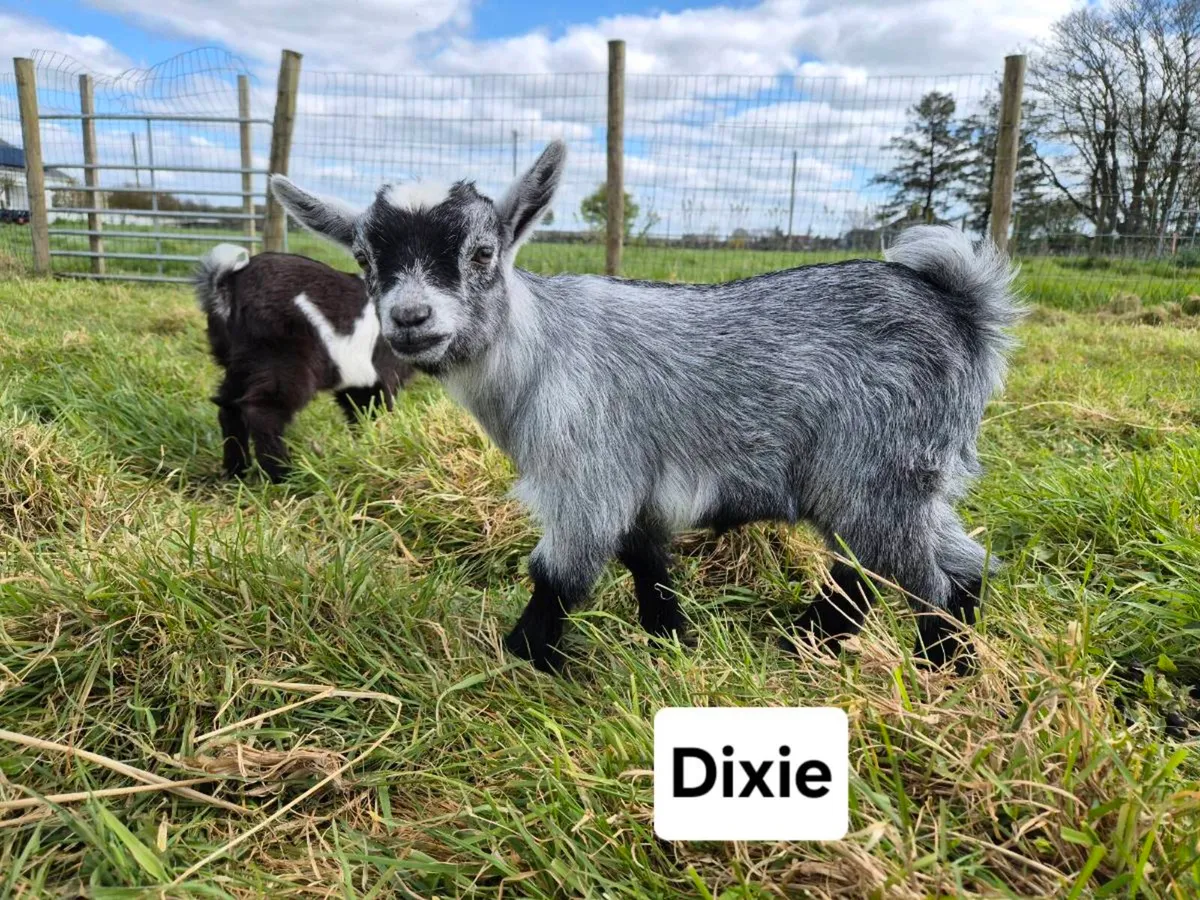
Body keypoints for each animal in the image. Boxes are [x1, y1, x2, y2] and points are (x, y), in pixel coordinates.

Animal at [194, 245, 413, 481]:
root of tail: (227, 285)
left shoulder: (358, 379)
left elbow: (360, 411)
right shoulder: (381, 373)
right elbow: (377, 408)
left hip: (239, 363)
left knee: (228, 408)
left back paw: (236, 472)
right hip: (284, 360)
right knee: (263, 410)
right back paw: (283, 476)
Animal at [269, 142, 1023, 674]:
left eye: (482, 251)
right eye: (364, 257)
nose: (410, 318)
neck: (539, 351)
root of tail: (960, 309)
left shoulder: (588, 473)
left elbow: (560, 574)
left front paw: (522, 663)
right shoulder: (637, 485)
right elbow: (646, 562)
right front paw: (673, 642)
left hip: (876, 471)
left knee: (919, 577)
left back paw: (937, 674)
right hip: (904, 479)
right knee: (952, 563)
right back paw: (819, 642)